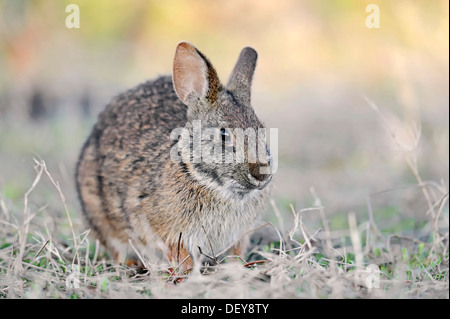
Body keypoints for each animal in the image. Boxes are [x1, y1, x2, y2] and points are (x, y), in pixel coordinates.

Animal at [76, 42, 274, 270]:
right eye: (224, 135)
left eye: (261, 130)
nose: (261, 175)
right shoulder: (167, 232)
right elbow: (179, 254)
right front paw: (187, 273)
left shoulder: (239, 235)